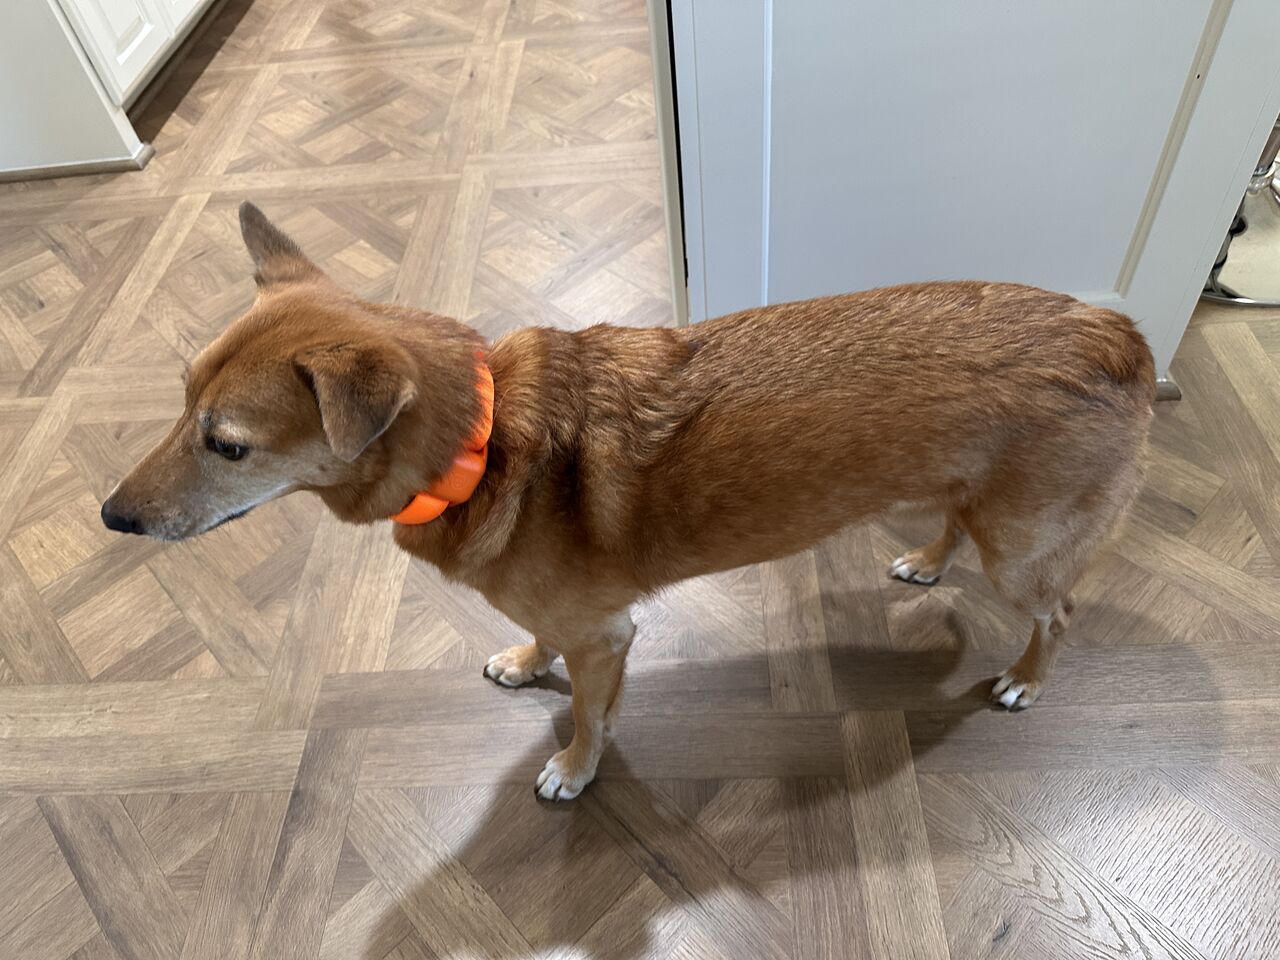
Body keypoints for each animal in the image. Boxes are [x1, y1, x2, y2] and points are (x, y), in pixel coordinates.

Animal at [102, 202, 1155, 800]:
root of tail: (1115, 331)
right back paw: (929, 561)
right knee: (952, 523)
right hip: (977, 503)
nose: (111, 517)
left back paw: (1025, 677)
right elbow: (539, 644)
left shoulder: (607, 638)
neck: (484, 444)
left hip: (1023, 555)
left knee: (1057, 611)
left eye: (227, 445)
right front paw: (524, 662)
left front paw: (573, 769)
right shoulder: (564, 616)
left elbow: (589, 714)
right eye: (181, 395)